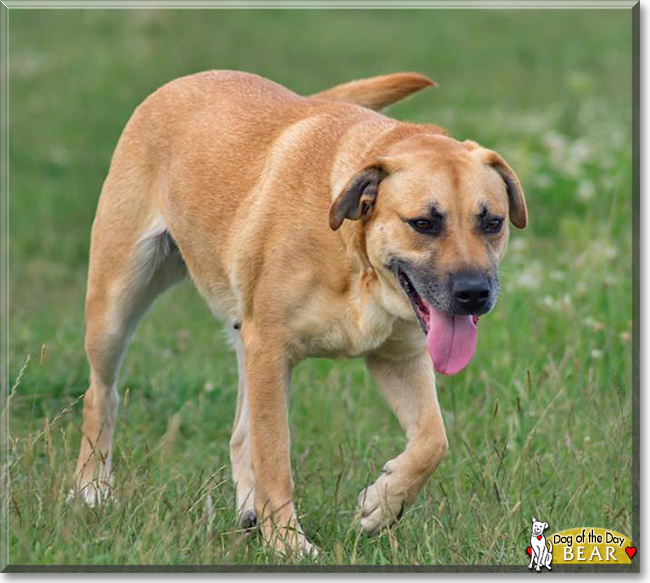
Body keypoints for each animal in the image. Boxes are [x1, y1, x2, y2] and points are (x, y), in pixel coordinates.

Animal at [72, 70, 528, 560]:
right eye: (423, 223)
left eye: (493, 222)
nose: (474, 293)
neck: (353, 254)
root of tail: (186, 79)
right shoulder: (271, 352)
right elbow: (276, 460)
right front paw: (288, 543)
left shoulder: (398, 357)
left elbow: (432, 440)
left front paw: (382, 504)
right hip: (117, 301)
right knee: (101, 394)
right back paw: (91, 489)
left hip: (242, 337)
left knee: (240, 437)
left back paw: (248, 509)